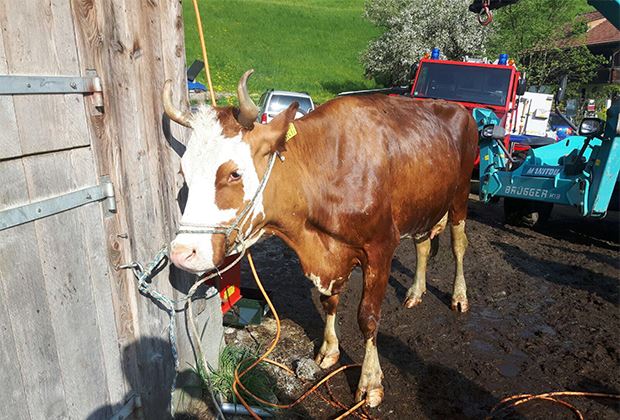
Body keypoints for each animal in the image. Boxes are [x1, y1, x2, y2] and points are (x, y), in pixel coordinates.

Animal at [164, 70, 478, 407]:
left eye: (234, 173)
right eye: (183, 172)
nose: (182, 252)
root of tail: (456, 107)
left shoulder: (380, 247)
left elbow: (368, 318)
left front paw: (370, 381)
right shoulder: (329, 255)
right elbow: (329, 301)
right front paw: (329, 349)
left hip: (459, 197)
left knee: (458, 246)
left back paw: (459, 296)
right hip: (424, 205)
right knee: (422, 244)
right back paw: (416, 292)